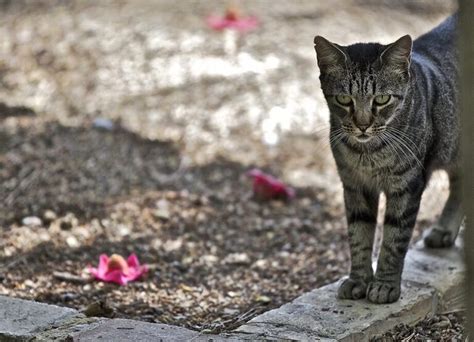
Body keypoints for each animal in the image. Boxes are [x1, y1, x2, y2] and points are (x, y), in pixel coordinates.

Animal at [312, 15, 462, 304]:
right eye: (344, 99)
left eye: (381, 99)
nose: (362, 125)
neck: (369, 153)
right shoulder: (354, 185)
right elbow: (359, 236)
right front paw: (359, 280)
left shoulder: (407, 186)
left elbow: (394, 239)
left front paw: (384, 285)